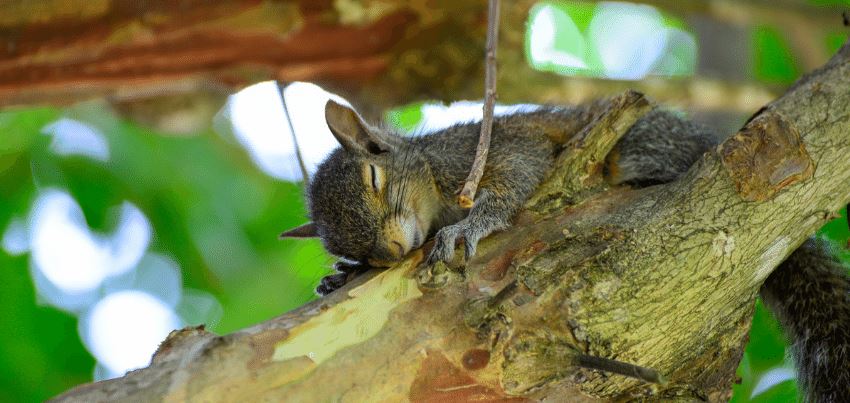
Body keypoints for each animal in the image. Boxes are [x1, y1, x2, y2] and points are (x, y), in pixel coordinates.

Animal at [280, 98, 850, 402]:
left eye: (374, 174)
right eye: (366, 254)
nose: (394, 246)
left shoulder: (474, 153)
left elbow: (515, 172)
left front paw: (470, 226)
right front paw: (340, 276)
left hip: (644, 141)